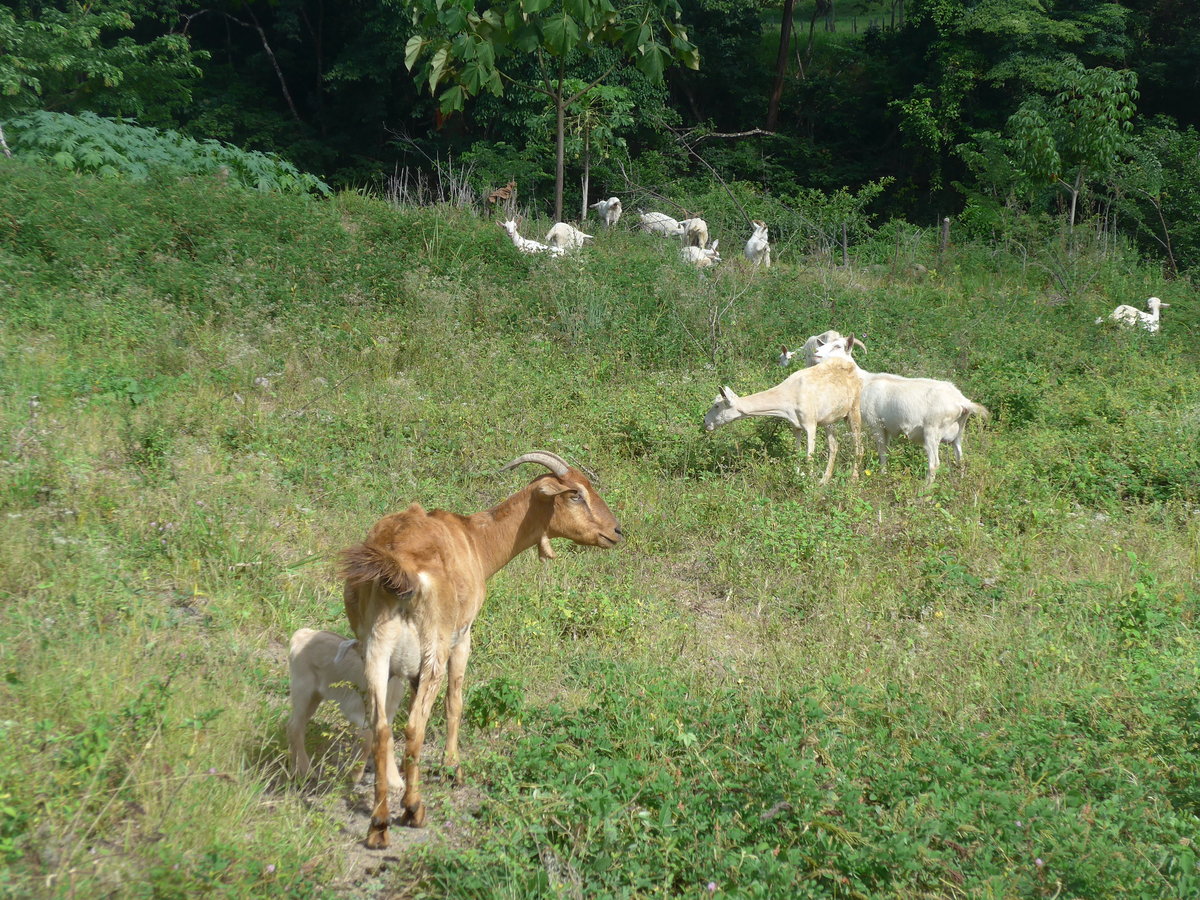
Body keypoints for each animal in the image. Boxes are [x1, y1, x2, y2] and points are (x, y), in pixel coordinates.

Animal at [286, 628, 412, 788]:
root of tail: (301, 635)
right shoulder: (356, 711)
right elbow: (367, 739)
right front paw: (355, 775)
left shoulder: (388, 716)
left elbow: (388, 741)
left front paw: (395, 781)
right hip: (302, 689)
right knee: (294, 726)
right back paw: (306, 770)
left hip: (314, 696)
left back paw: (296, 768)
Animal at [340, 451, 622, 848]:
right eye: (575, 494)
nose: (616, 531)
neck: (473, 539)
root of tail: (398, 568)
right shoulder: (463, 638)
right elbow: (455, 703)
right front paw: (452, 769)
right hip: (433, 650)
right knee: (415, 725)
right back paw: (413, 809)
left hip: (374, 652)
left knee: (381, 727)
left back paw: (379, 824)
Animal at [703, 353, 863, 484]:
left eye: (717, 405)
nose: (705, 422)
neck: (786, 403)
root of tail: (853, 365)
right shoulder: (796, 425)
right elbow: (796, 453)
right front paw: (799, 477)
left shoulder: (810, 423)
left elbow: (809, 456)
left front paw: (809, 483)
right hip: (828, 420)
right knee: (834, 446)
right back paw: (824, 480)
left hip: (854, 408)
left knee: (859, 446)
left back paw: (853, 479)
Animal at [814, 337, 989, 483]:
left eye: (837, 346)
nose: (816, 353)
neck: (864, 381)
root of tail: (962, 401)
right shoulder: (888, 428)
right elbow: (886, 450)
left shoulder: (876, 424)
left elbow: (881, 450)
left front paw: (882, 475)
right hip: (958, 433)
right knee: (961, 459)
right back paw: (960, 482)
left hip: (932, 431)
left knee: (934, 464)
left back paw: (925, 490)